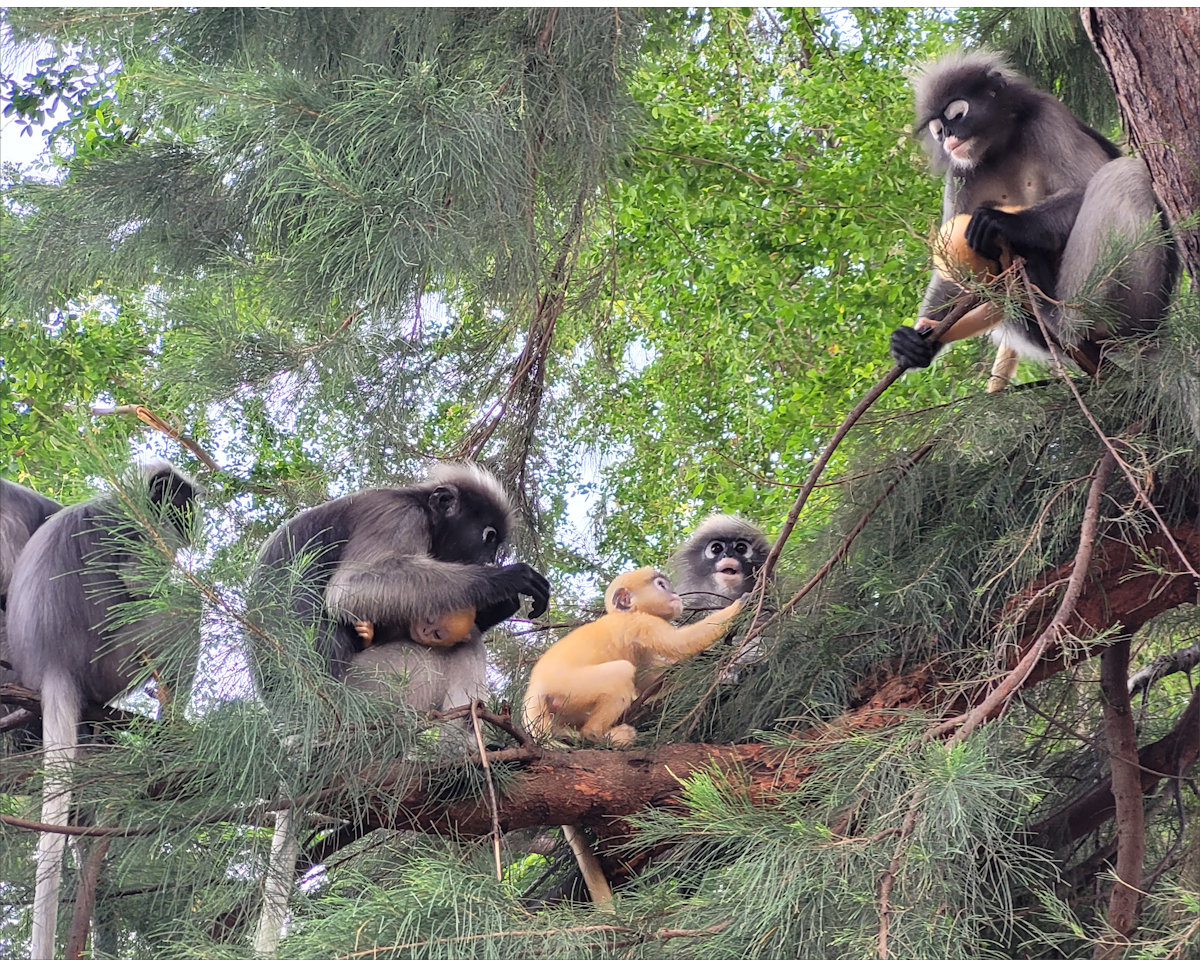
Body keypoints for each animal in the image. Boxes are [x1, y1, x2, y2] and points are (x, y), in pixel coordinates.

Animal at [6, 461, 200, 960]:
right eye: (179, 505)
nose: (189, 525)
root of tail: (52, 664)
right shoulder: (137, 527)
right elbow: (141, 584)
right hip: (113, 658)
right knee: (180, 615)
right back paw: (171, 727)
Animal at [248, 462, 550, 956]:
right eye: (487, 537)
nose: (489, 561)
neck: (418, 503)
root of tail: (296, 731)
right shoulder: (397, 518)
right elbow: (351, 592)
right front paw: (503, 583)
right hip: (369, 697)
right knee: (458, 646)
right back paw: (457, 762)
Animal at [889, 50, 1176, 380]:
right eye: (938, 131)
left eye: (957, 115)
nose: (948, 136)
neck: (998, 147)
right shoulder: (960, 171)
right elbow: (950, 275)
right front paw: (917, 341)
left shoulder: (1047, 118)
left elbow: (1084, 184)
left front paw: (1001, 223)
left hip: (1137, 306)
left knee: (1124, 174)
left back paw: (1064, 319)